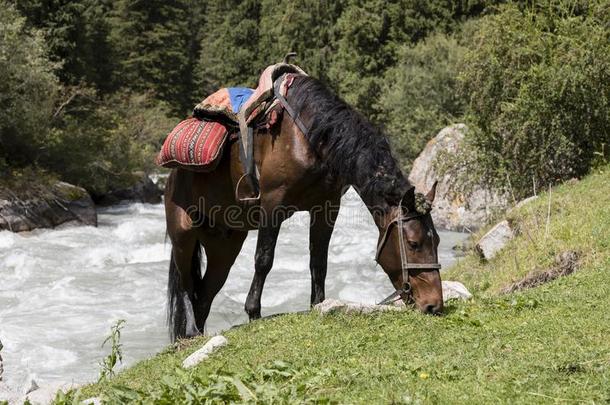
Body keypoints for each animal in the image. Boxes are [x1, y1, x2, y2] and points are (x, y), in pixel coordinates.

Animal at [165, 75, 442, 338]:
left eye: (437, 241)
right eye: (413, 243)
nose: (434, 305)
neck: (311, 138)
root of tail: (173, 176)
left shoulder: (326, 208)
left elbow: (319, 261)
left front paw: (318, 304)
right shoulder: (272, 205)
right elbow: (264, 259)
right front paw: (253, 312)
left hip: (224, 248)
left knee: (205, 294)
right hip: (183, 236)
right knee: (187, 284)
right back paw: (191, 331)